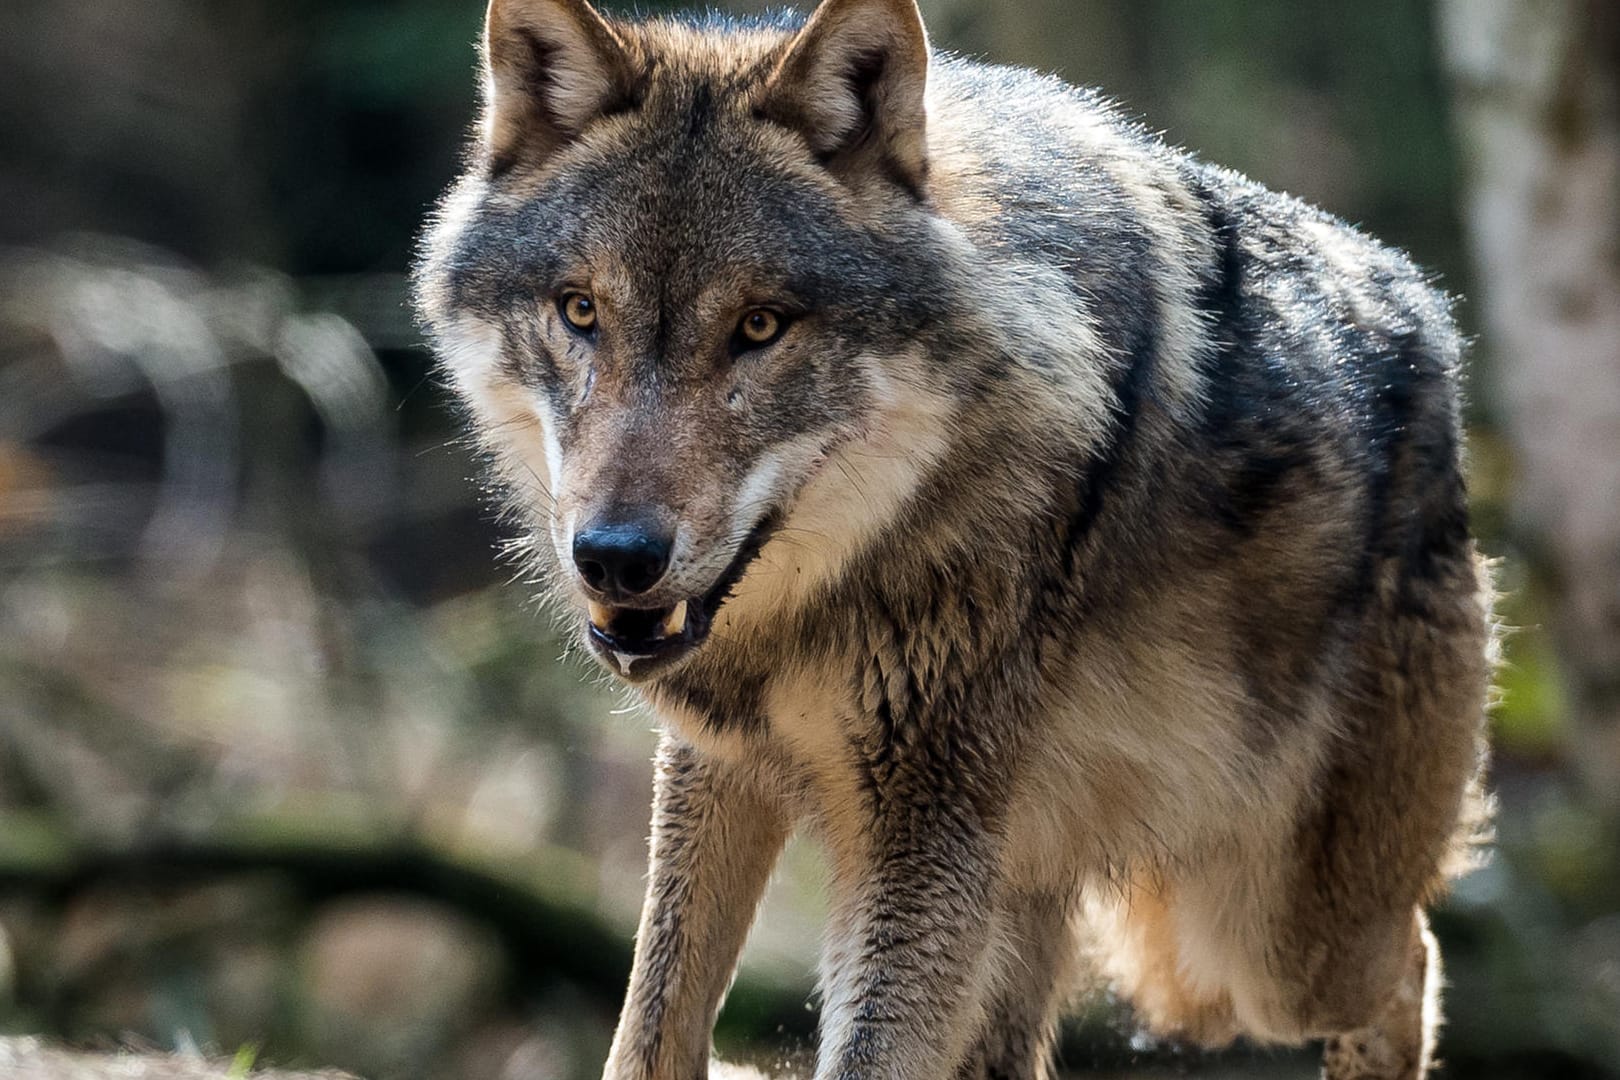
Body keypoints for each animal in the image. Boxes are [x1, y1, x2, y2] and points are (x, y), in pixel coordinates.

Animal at [414, 0, 1490, 1075]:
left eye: (760, 326)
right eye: (580, 310)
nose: (616, 556)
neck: (812, 610)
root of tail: (1432, 317)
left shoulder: (922, 825)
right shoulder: (718, 766)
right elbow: (650, 1031)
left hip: (1263, 944)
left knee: (1413, 963)